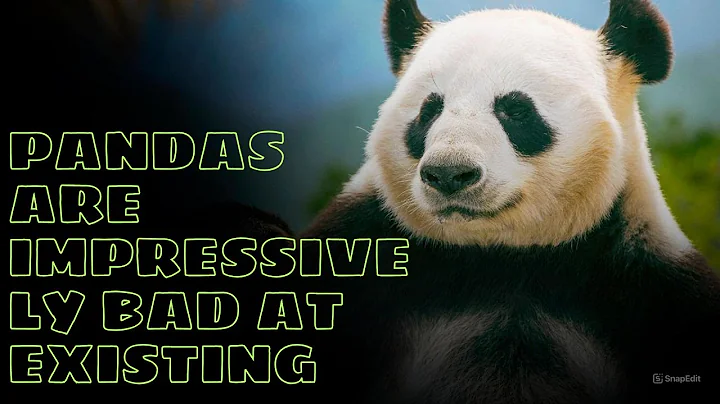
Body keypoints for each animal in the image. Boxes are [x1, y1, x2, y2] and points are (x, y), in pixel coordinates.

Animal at [224, 0, 720, 403]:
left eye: (515, 109)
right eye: (430, 110)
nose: (448, 174)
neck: (501, 257)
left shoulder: (648, 288)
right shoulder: (364, 263)